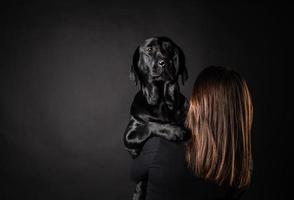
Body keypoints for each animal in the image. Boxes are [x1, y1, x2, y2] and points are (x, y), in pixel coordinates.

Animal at [123, 36, 189, 199]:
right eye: (149, 49)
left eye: (170, 49)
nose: (164, 62)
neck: (161, 102)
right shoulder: (129, 135)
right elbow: (150, 125)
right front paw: (174, 131)